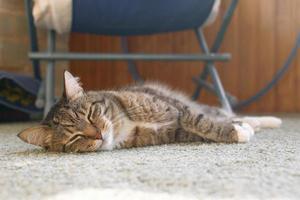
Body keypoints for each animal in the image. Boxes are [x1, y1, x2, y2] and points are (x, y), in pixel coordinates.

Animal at [18, 71, 282, 152]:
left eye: (91, 114)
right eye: (75, 137)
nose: (98, 135)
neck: (126, 124)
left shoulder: (177, 109)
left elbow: (202, 122)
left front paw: (238, 132)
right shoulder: (175, 132)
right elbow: (202, 129)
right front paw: (238, 132)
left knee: (224, 114)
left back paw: (271, 121)